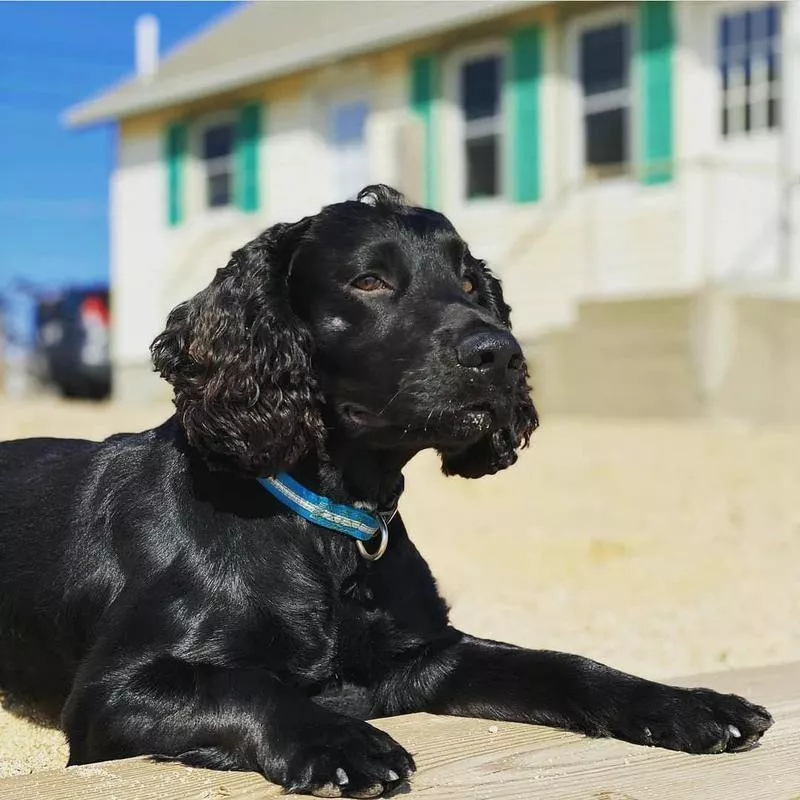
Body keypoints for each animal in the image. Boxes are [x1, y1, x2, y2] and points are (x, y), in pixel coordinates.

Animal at [1, 186, 776, 792]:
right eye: (370, 281)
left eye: (470, 284)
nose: (501, 354)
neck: (326, 529)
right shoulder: (112, 694)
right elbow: (245, 683)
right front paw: (341, 739)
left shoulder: (431, 657)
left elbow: (561, 664)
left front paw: (689, 703)